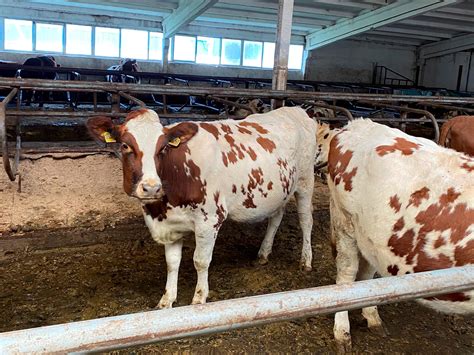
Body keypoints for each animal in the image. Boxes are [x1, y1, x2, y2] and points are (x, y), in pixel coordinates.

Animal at [89, 108, 318, 308]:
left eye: (163, 148)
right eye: (125, 146)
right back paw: (263, 253)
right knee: (276, 217)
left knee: (306, 221)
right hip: (279, 191)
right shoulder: (170, 224)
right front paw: (167, 299)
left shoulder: (210, 220)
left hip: (305, 182)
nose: (151, 187)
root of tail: (295, 110)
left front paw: (199, 298)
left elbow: (200, 261)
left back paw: (306, 261)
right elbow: (172, 262)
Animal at [316, 119, 472, 354]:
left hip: (372, 237)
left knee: (367, 274)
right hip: (345, 222)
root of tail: (356, 124)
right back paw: (342, 332)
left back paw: (372, 317)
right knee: (346, 275)